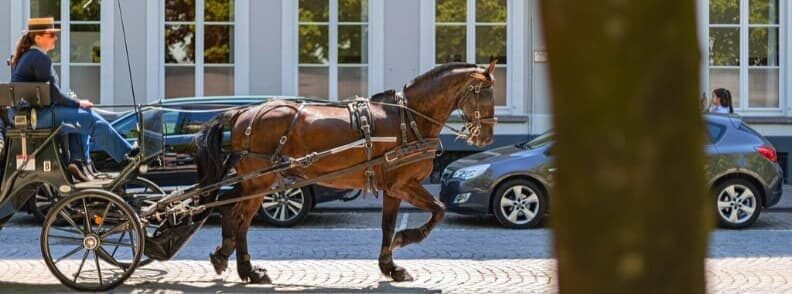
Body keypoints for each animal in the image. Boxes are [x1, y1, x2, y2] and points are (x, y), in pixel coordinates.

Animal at [196, 61, 498, 282]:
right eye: (484, 94)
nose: (486, 137)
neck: (409, 119)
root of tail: (243, 112)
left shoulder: (393, 188)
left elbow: (388, 225)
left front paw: (390, 266)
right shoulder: (404, 184)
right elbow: (438, 210)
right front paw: (404, 239)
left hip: (252, 182)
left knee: (228, 208)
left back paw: (224, 257)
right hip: (261, 181)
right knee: (241, 219)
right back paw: (247, 269)